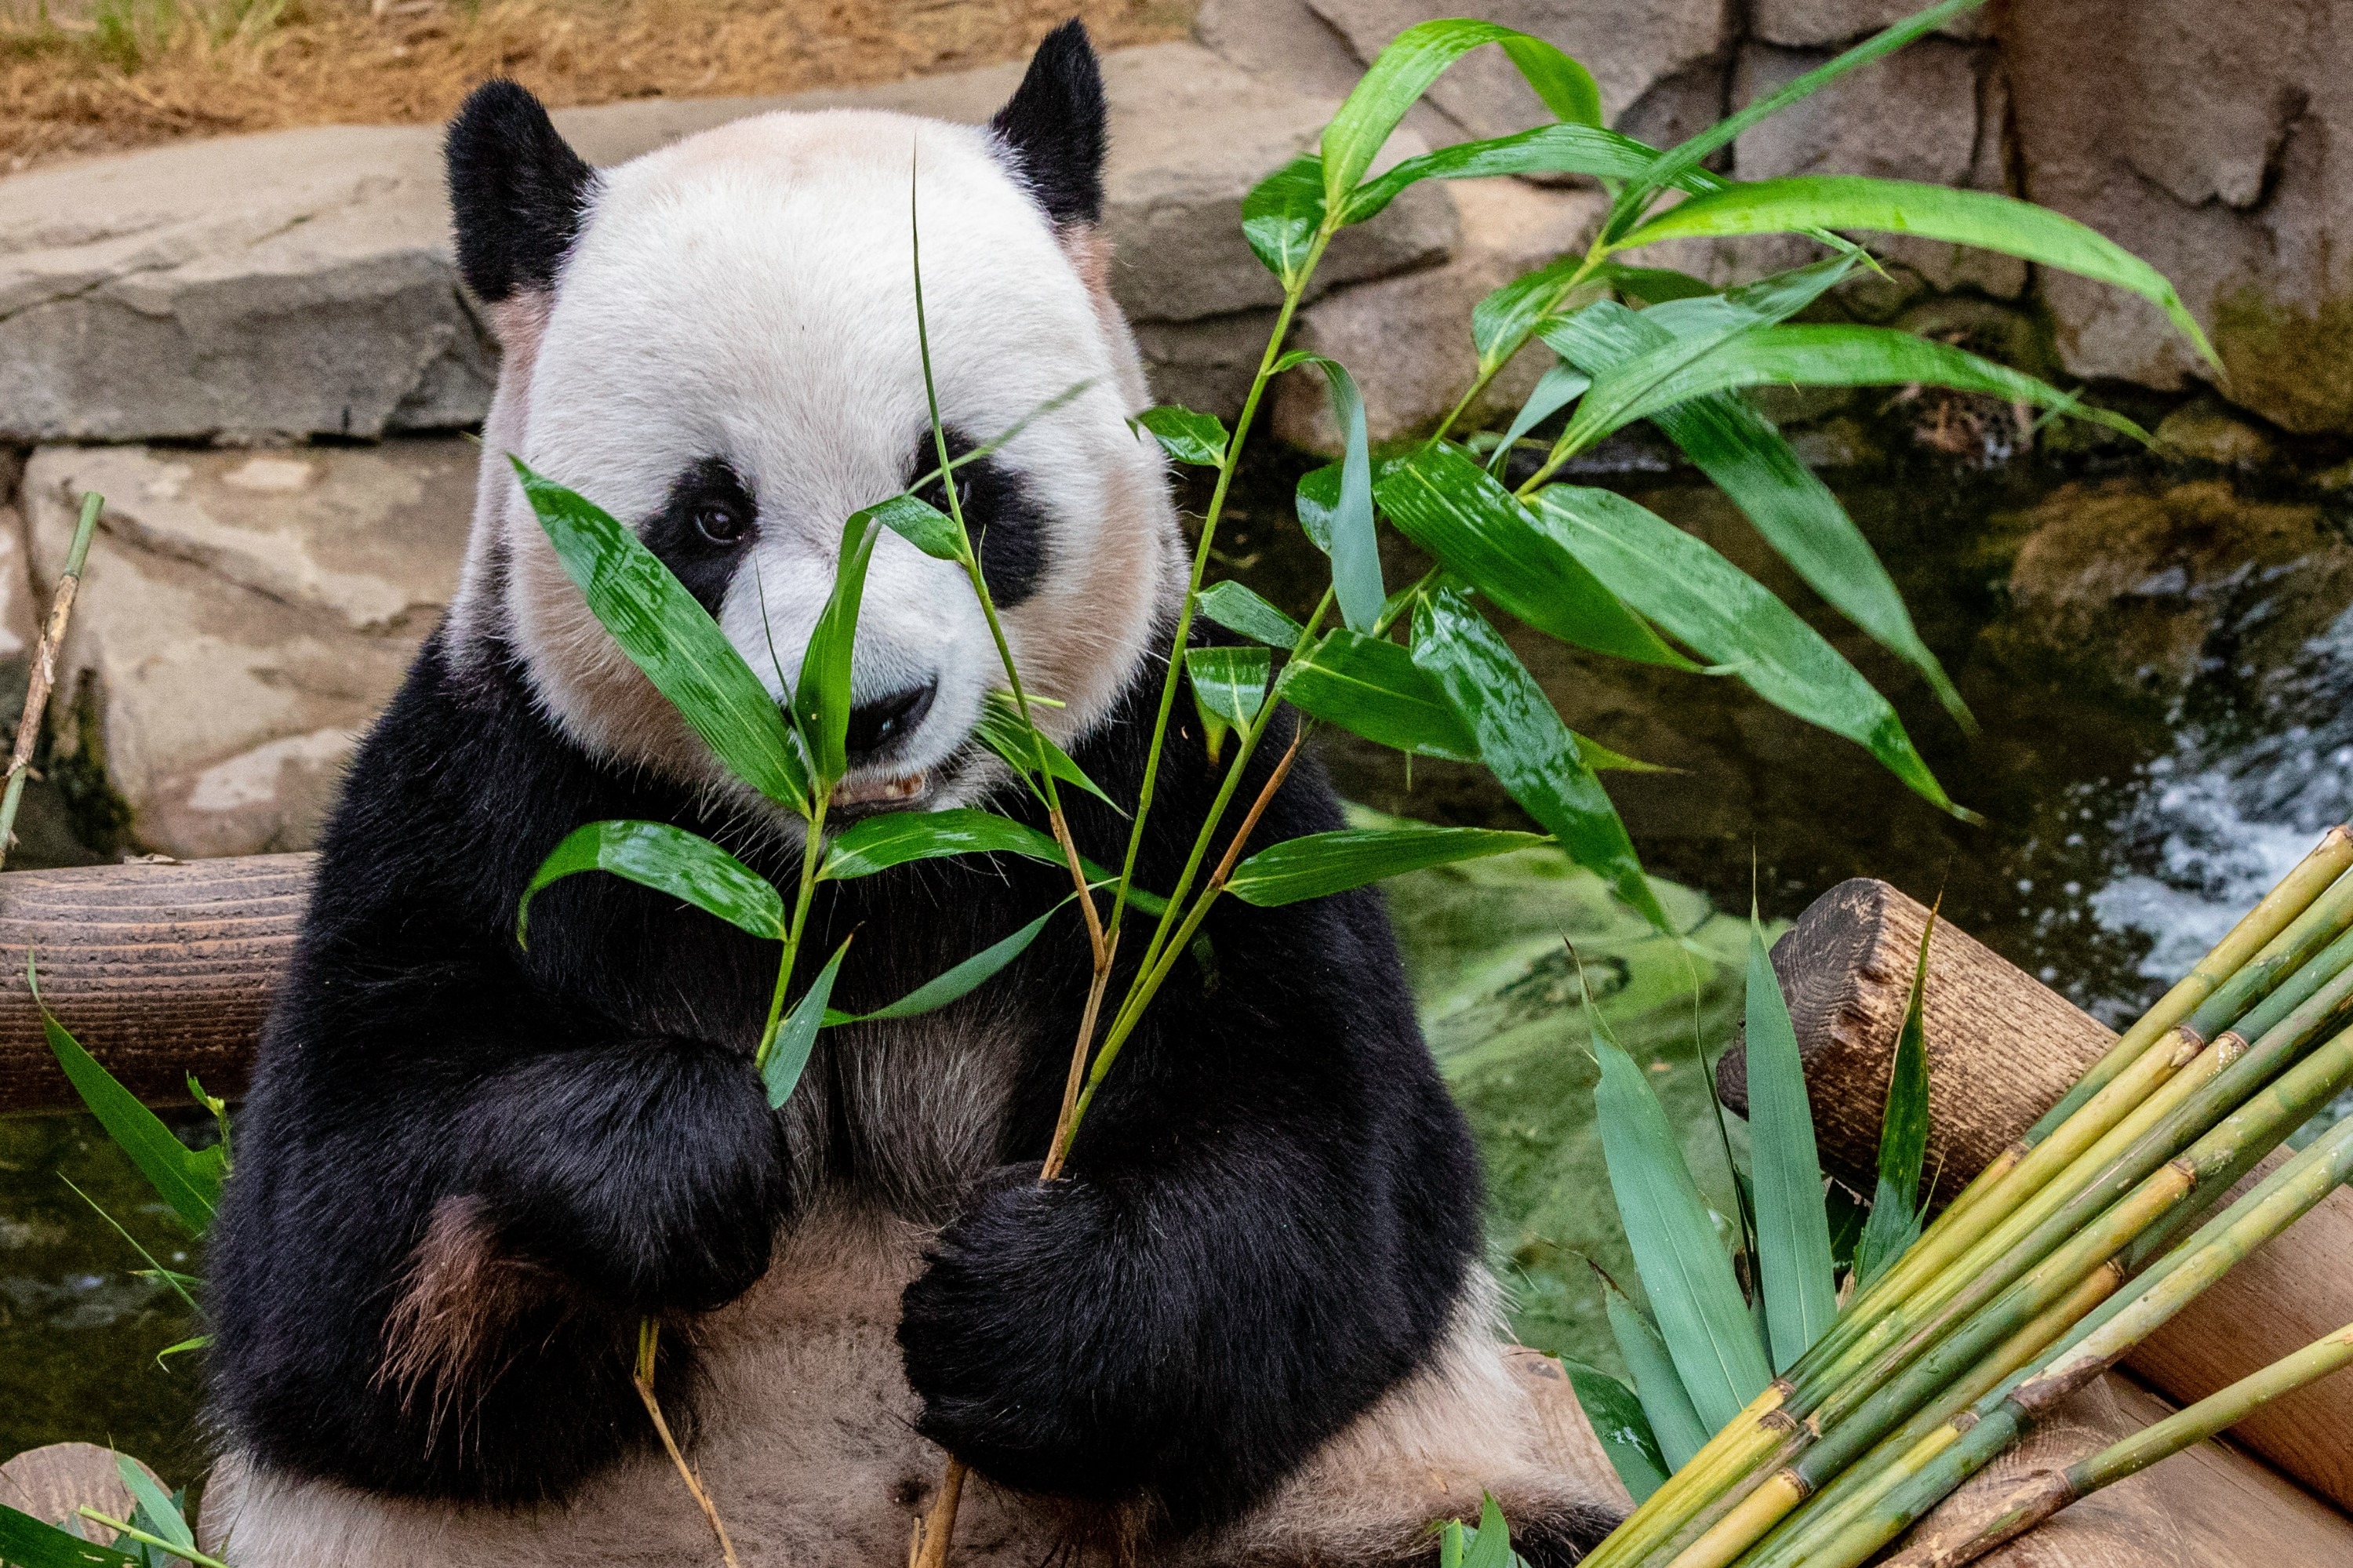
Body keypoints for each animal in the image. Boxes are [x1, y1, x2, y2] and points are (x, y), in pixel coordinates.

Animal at [202, 24, 1628, 1563]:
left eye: (952, 480)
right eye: (710, 515)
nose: (860, 708)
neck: (864, 879)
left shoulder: (1183, 794)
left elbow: (1332, 1179)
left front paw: (1024, 1307)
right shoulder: (497, 791)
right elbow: (332, 1255)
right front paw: (674, 1154)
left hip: (1367, 1503)